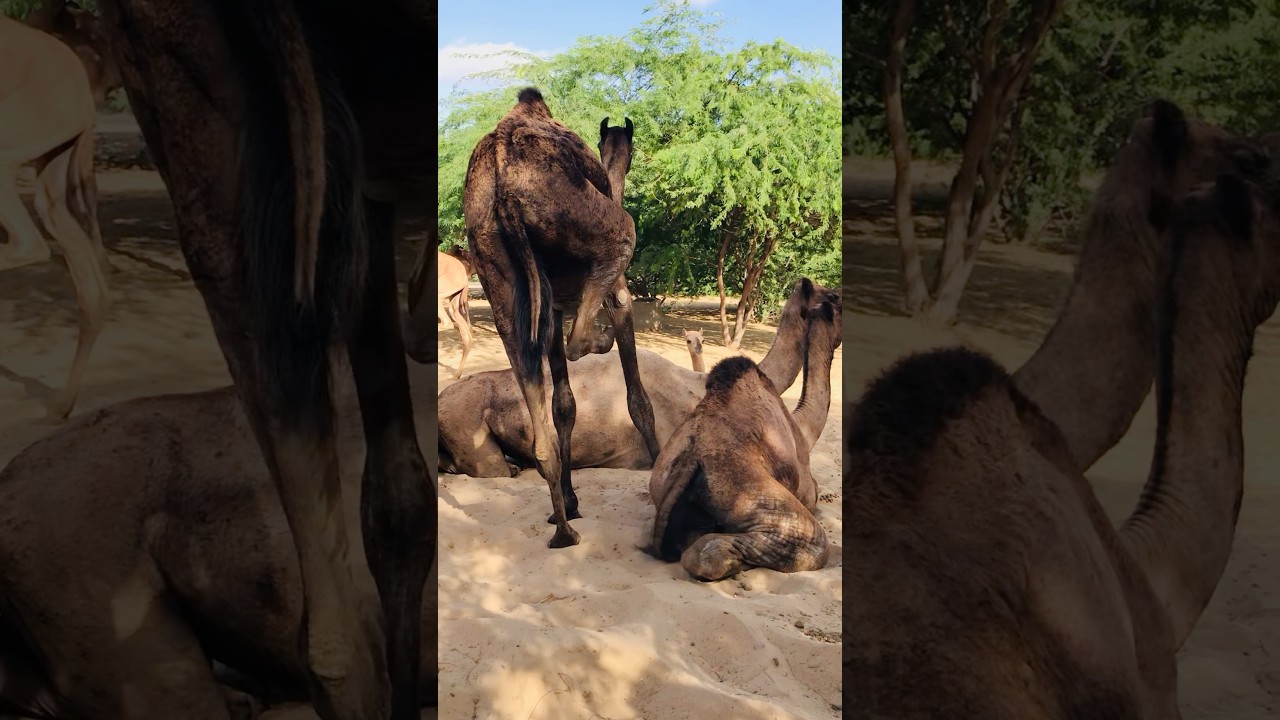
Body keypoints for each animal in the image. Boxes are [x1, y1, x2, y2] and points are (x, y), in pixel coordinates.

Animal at [465, 87, 657, 547]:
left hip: (496, 274)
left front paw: (568, 503)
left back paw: (563, 530)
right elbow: (638, 400)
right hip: (599, 228)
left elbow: (564, 406)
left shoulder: (549, 311)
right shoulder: (619, 295)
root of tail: (503, 184)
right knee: (581, 335)